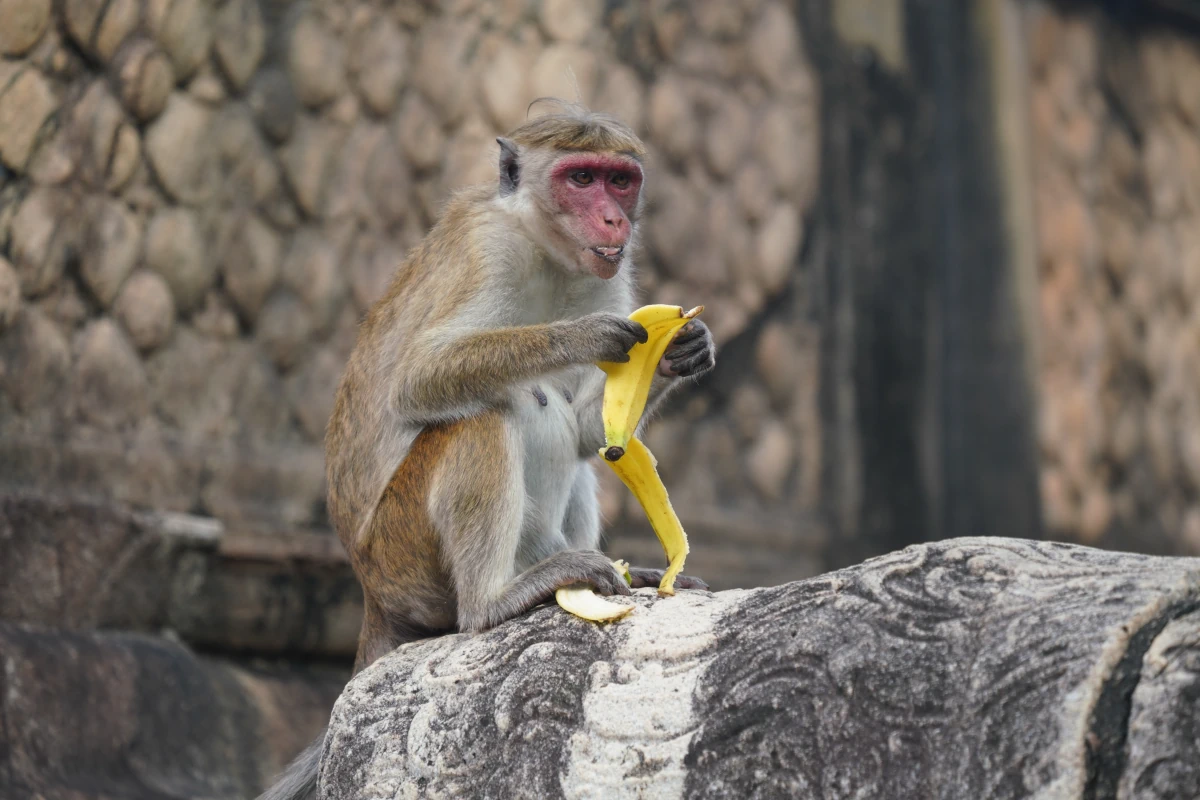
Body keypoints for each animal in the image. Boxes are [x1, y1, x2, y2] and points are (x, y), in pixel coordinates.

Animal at [255, 101, 710, 800]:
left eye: (620, 180)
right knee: (491, 412)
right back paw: (497, 600)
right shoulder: (488, 249)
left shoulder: (612, 275)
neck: (546, 251)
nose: (614, 219)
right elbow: (417, 379)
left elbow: (593, 433)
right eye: (581, 178)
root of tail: (371, 590)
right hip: (403, 551)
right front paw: (582, 335)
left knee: (570, 445)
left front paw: (682, 350)